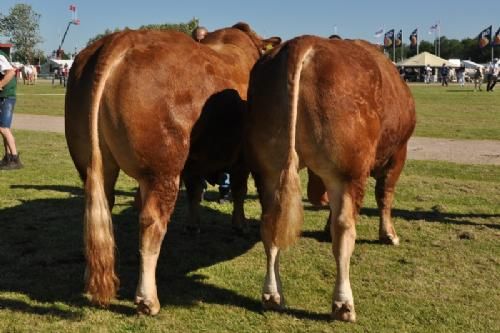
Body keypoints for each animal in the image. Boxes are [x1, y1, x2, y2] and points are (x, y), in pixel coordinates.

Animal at [64, 22, 280, 314]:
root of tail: (123, 39)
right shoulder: (241, 158)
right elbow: (238, 189)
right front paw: (240, 223)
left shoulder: (194, 162)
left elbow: (196, 191)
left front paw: (193, 224)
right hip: (163, 170)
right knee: (151, 222)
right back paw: (147, 299)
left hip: (91, 162)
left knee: (99, 210)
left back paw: (91, 279)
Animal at [246, 36, 414, 322]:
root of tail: (303, 42)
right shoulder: (398, 154)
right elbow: (385, 195)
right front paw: (389, 234)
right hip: (347, 172)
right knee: (344, 229)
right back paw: (343, 303)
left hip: (268, 168)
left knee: (270, 224)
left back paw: (272, 295)